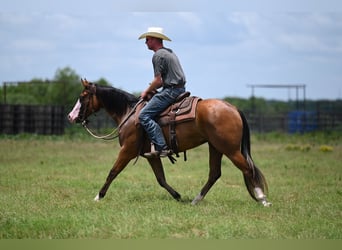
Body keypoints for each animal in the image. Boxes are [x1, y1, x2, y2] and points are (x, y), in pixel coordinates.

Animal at [69, 79, 272, 206]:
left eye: (82, 96)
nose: (71, 117)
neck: (130, 113)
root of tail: (233, 108)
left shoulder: (127, 150)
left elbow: (112, 172)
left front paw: (98, 196)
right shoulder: (151, 155)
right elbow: (161, 179)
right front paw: (178, 196)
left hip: (230, 149)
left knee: (247, 169)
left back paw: (262, 199)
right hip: (215, 147)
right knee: (214, 174)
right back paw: (195, 200)